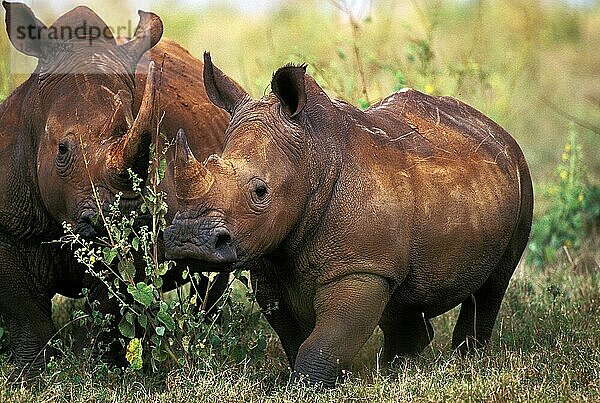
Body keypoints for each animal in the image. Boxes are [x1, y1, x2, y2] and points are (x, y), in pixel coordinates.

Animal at [0, 2, 230, 378]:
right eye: (62, 150)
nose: (122, 215)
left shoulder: (136, 237)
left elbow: (113, 308)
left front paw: (108, 372)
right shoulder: (9, 225)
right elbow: (27, 317)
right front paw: (27, 375)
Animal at [165, 53, 536, 388]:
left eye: (260, 191)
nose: (189, 241)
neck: (312, 156)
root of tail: (496, 128)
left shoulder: (362, 268)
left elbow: (324, 343)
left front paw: (307, 388)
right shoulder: (270, 261)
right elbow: (295, 338)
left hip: (522, 177)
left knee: (492, 286)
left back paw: (464, 362)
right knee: (405, 300)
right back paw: (395, 371)